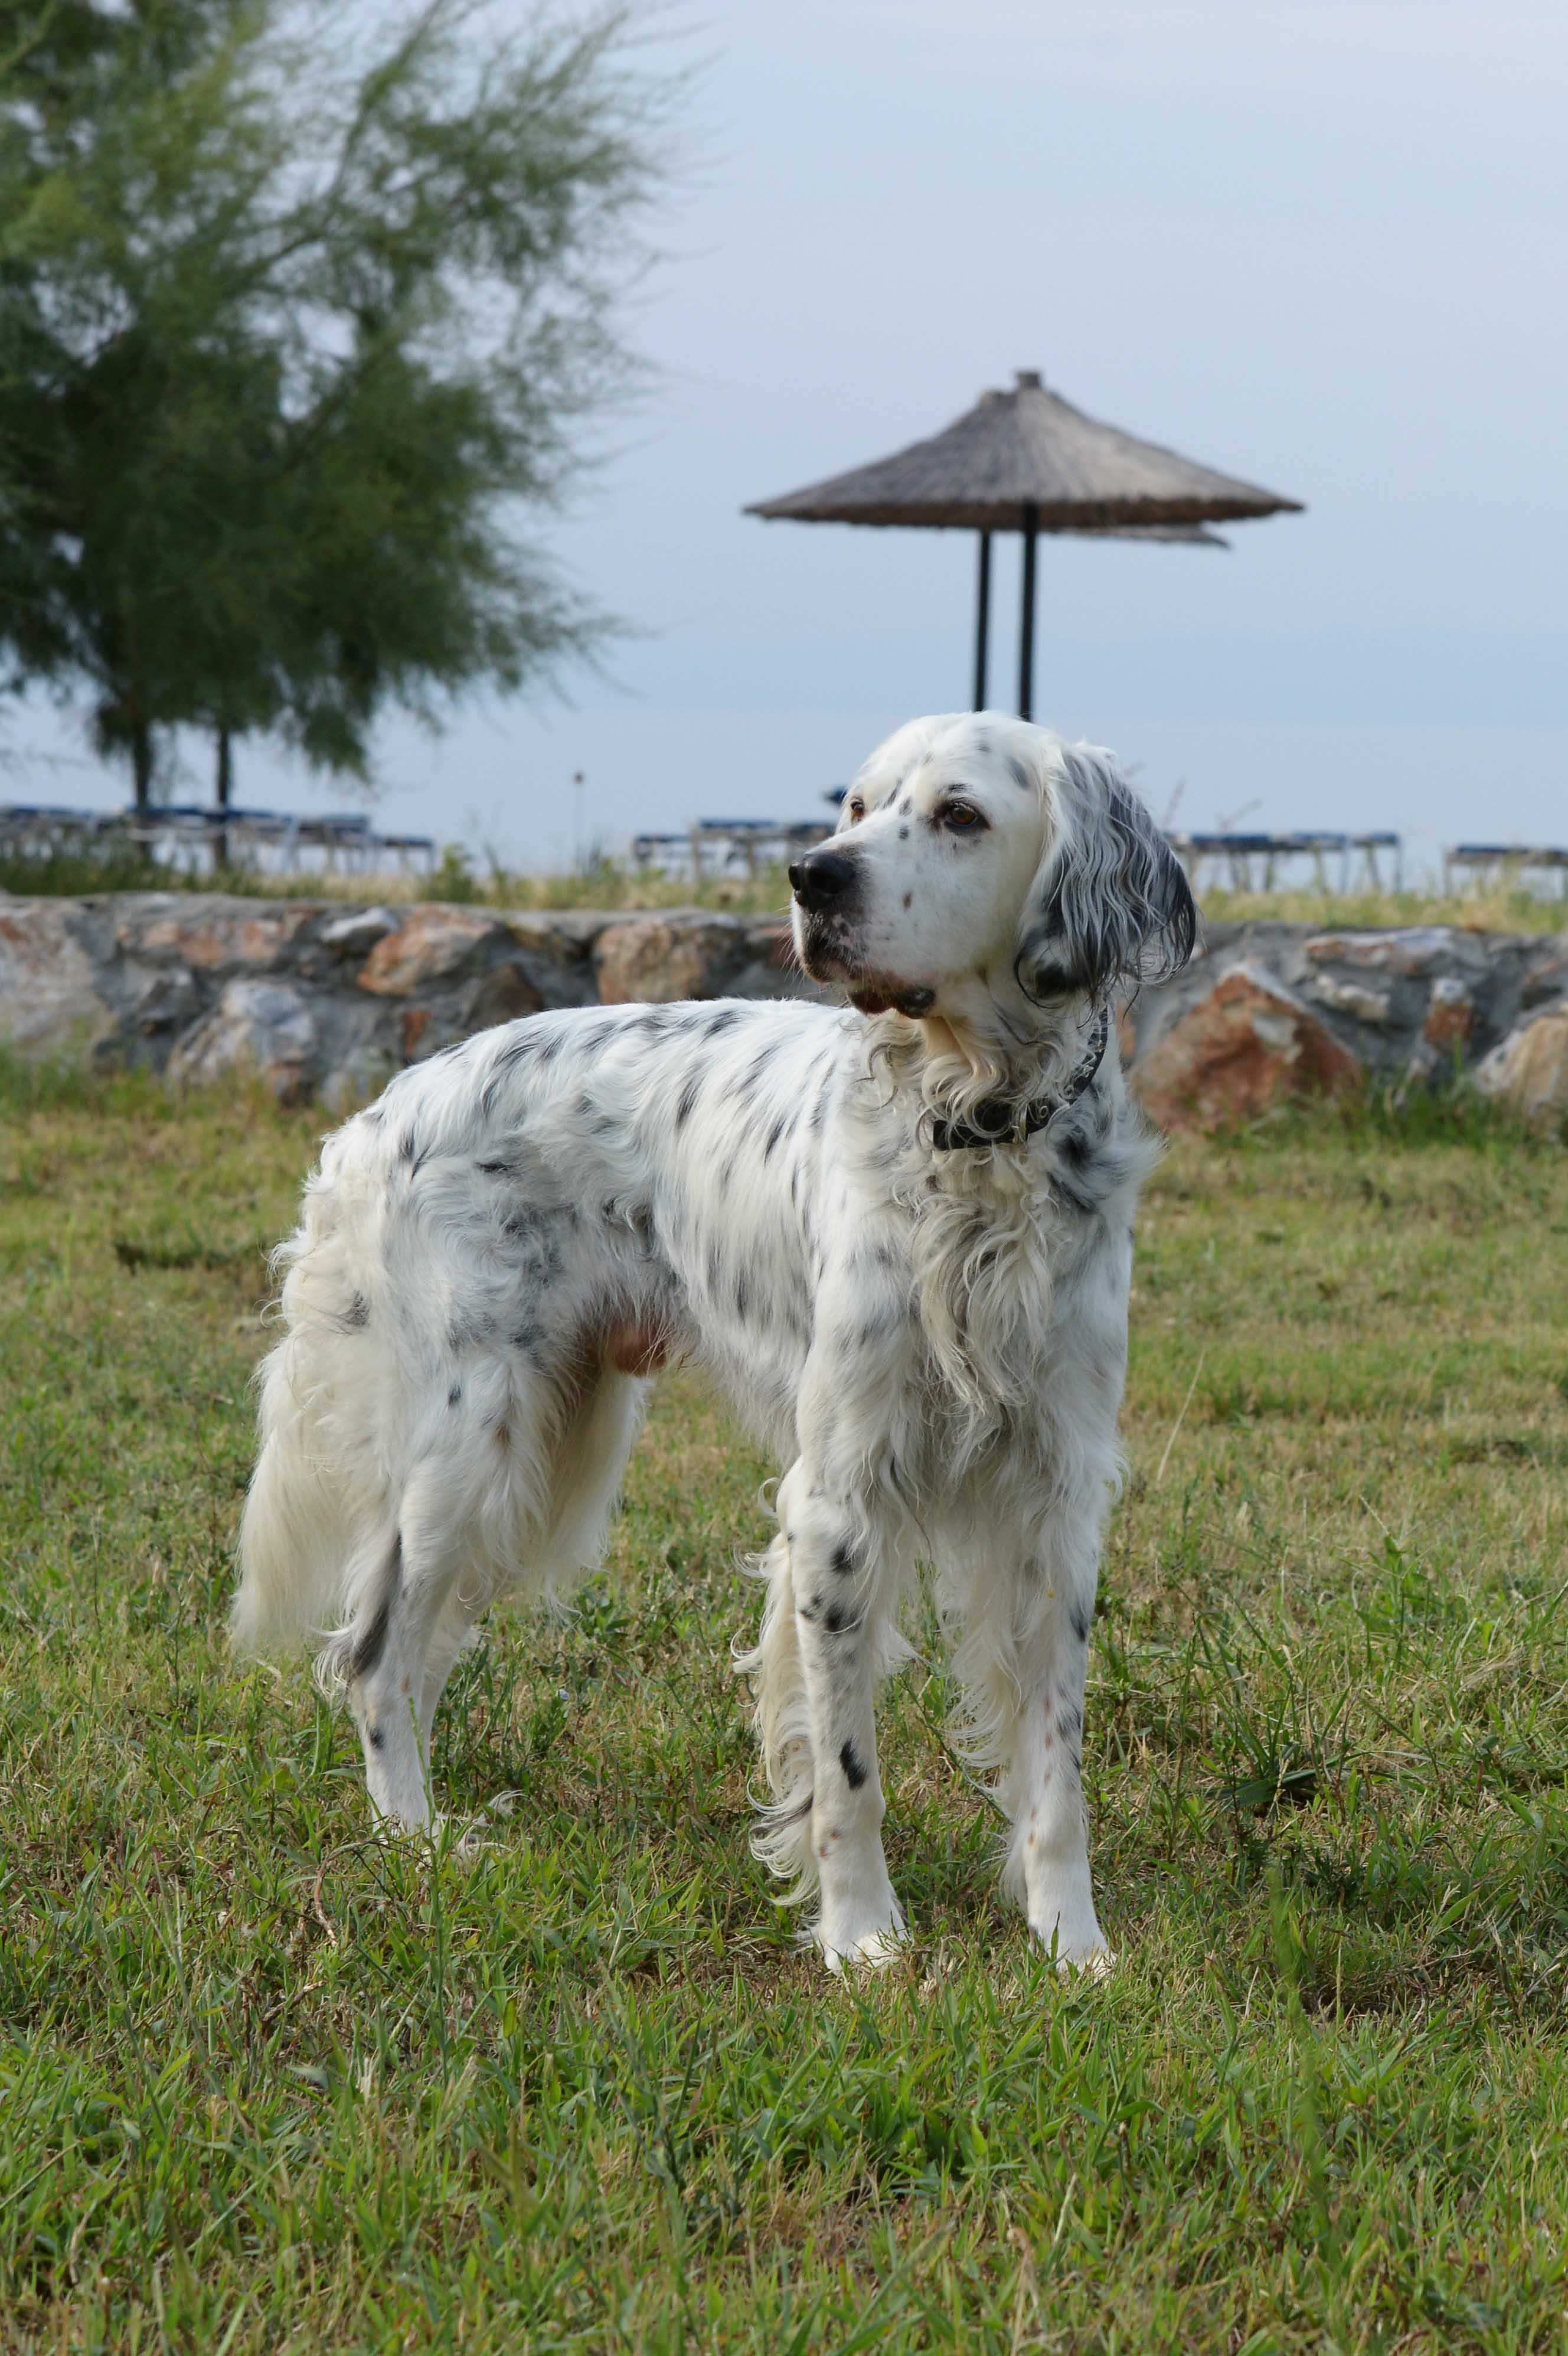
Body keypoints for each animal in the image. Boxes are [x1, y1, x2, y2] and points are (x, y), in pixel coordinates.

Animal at [231, 711, 1191, 1969]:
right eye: (854, 807)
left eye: (960, 815)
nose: (810, 877)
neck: (978, 1128)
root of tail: (386, 1109)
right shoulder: (839, 1498)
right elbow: (848, 1767)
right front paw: (863, 1940)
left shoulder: (1057, 1495)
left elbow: (1055, 1763)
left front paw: (1071, 1944)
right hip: (474, 1445)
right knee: (375, 1653)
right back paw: (418, 1841)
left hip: (548, 1450)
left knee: (409, 1654)